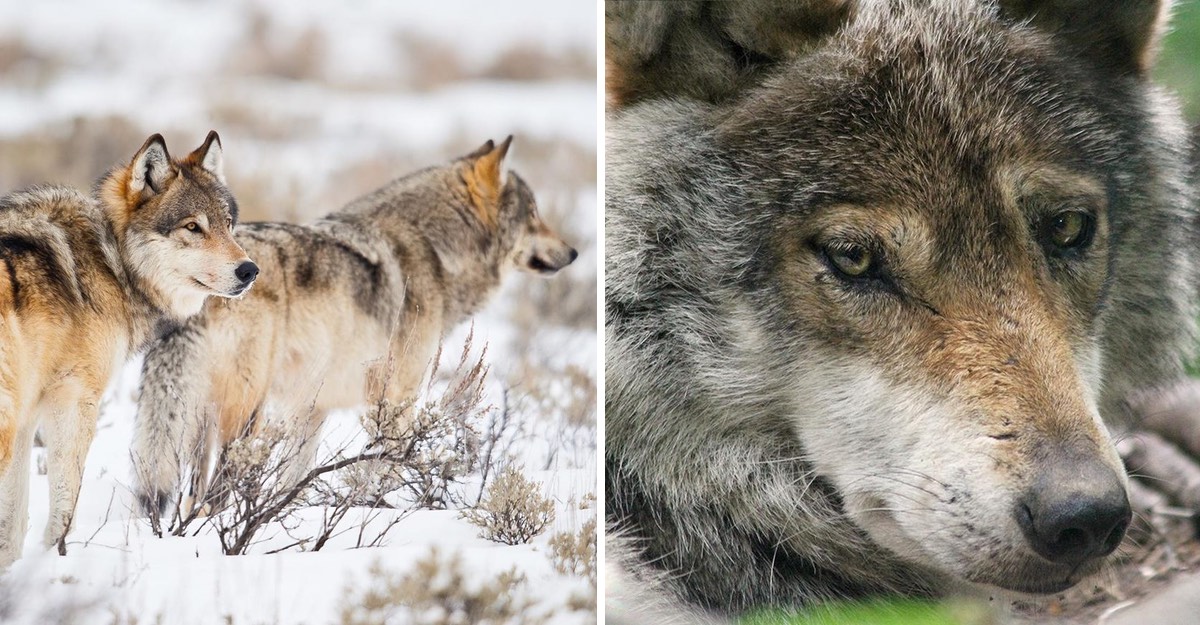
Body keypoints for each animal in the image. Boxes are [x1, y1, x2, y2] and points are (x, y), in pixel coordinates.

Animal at [0, 131, 255, 568]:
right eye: (193, 227)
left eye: (227, 224)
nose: (249, 270)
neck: (110, 258)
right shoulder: (74, 401)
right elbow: (62, 510)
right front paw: (54, 563)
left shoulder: (29, 415)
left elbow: (12, 528)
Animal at [132, 137, 577, 518]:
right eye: (534, 215)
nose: (573, 252)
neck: (436, 250)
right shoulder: (398, 398)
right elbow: (385, 468)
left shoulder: (311, 410)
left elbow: (293, 479)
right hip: (243, 413)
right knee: (213, 496)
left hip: (201, 418)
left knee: (192, 496)